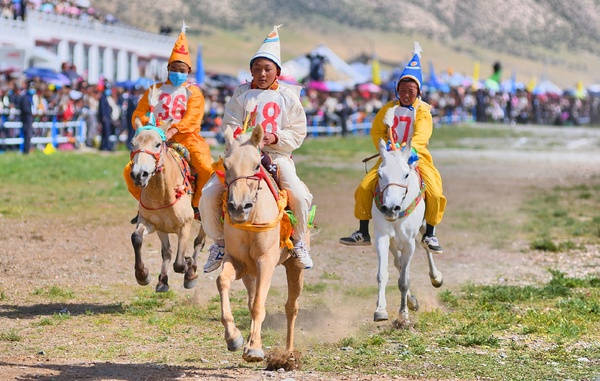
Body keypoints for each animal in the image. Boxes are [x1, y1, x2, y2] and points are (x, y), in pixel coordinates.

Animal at [127, 117, 205, 292]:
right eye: (133, 143)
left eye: (157, 144)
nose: (139, 175)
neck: (162, 194)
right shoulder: (153, 224)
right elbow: (138, 239)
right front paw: (144, 275)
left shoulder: (185, 225)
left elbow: (179, 263)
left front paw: (188, 266)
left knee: (199, 242)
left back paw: (192, 272)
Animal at [216, 125, 304, 366]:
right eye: (226, 165)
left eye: (257, 165)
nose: (239, 207)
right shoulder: (237, 261)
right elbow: (222, 282)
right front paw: (234, 338)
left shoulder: (266, 262)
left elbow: (258, 306)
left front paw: (254, 348)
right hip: (250, 274)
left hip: (294, 267)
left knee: (291, 307)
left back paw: (288, 354)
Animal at [372, 138, 442, 328]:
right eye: (380, 174)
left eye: (405, 175)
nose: (390, 208)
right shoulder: (382, 238)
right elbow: (383, 274)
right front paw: (380, 310)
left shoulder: (409, 243)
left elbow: (404, 281)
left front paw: (403, 316)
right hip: (393, 243)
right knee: (398, 263)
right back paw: (412, 301)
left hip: (423, 228)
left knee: (426, 247)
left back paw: (436, 277)